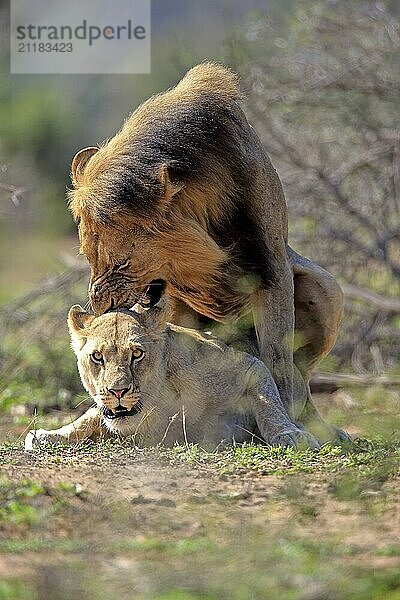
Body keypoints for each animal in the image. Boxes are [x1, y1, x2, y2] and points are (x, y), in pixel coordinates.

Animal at [24, 302, 318, 452]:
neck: (159, 405)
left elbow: (270, 405)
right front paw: (49, 436)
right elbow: (88, 419)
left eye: (137, 354)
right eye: (97, 357)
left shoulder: (248, 366)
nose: (118, 391)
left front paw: (291, 435)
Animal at [68, 63, 344, 442]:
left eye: (122, 261)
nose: (100, 307)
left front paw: (293, 424)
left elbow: (277, 361)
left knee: (299, 374)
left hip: (326, 288)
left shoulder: (272, 267)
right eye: (88, 256)